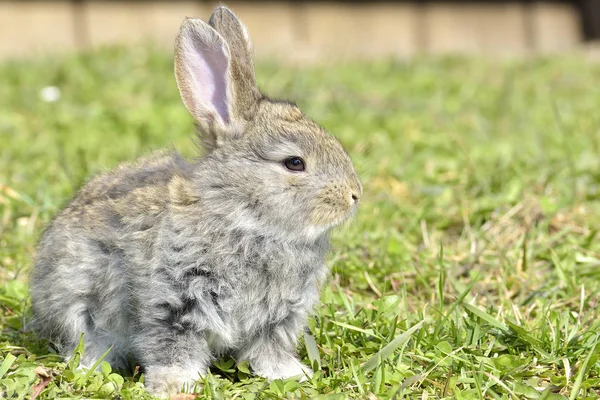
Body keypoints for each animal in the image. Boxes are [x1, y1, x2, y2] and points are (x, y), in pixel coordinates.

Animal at [29, 3, 360, 396]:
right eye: (294, 163)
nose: (354, 195)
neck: (243, 217)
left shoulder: (276, 317)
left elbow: (269, 350)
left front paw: (290, 375)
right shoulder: (172, 302)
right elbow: (173, 346)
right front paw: (175, 386)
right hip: (77, 304)